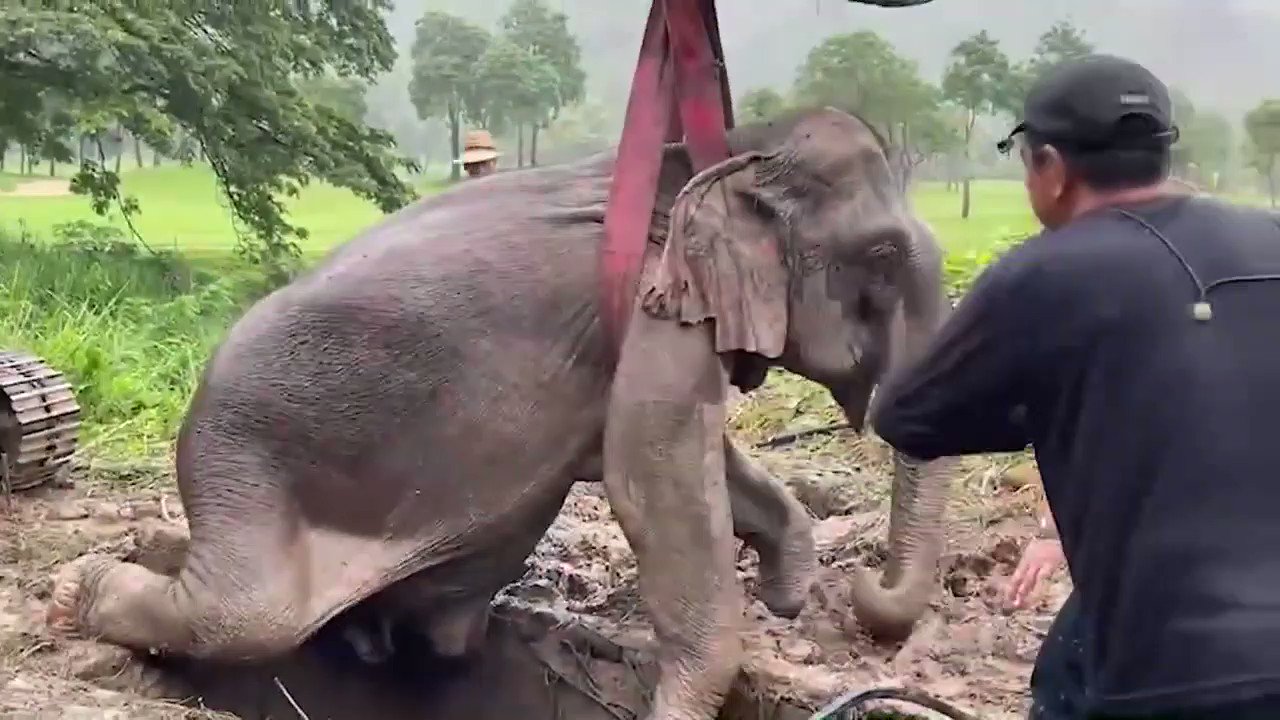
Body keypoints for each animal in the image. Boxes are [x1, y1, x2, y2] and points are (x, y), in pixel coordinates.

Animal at [46, 106, 955, 720]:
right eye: (880, 256)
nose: (866, 599)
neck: (732, 146)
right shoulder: (658, 307)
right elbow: (651, 480)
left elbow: (694, 464)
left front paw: (789, 586)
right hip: (241, 457)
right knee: (244, 615)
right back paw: (72, 591)